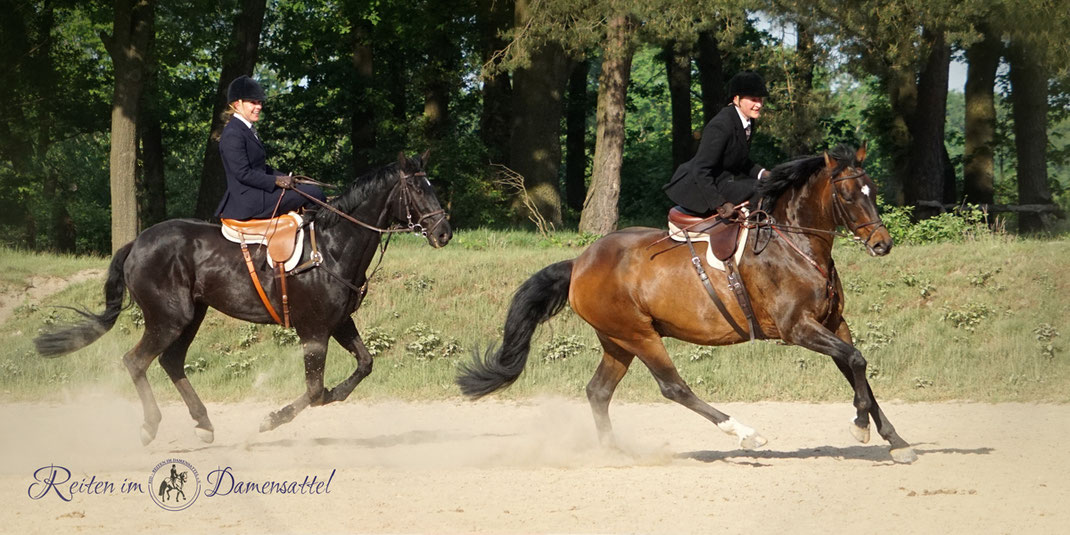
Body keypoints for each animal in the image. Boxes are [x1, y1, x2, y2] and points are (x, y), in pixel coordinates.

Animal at [34, 149, 451, 442]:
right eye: (417, 189)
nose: (444, 232)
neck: (332, 245)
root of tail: (137, 242)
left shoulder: (339, 322)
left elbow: (363, 366)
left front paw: (334, 394)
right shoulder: (314, 330)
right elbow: (316, 391)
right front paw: (272, 419)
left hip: (192, 315)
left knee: (171, 362)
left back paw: (203, 423)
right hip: (169, 318)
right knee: (136, 361)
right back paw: (150, 426)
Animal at [460, 144, 920, 462]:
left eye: (873, 191)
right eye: (849, 195)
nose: (883, 244)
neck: (799, 246)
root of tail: (578, 263)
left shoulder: (833, 322)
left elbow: (856, 367)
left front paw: (895, 440)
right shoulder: (798, 328)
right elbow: (856, 361)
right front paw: (860, 426)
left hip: (617, 340)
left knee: (598, 391)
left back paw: (613, 452)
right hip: (639, 335)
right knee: (673, 387)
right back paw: (744, 433)